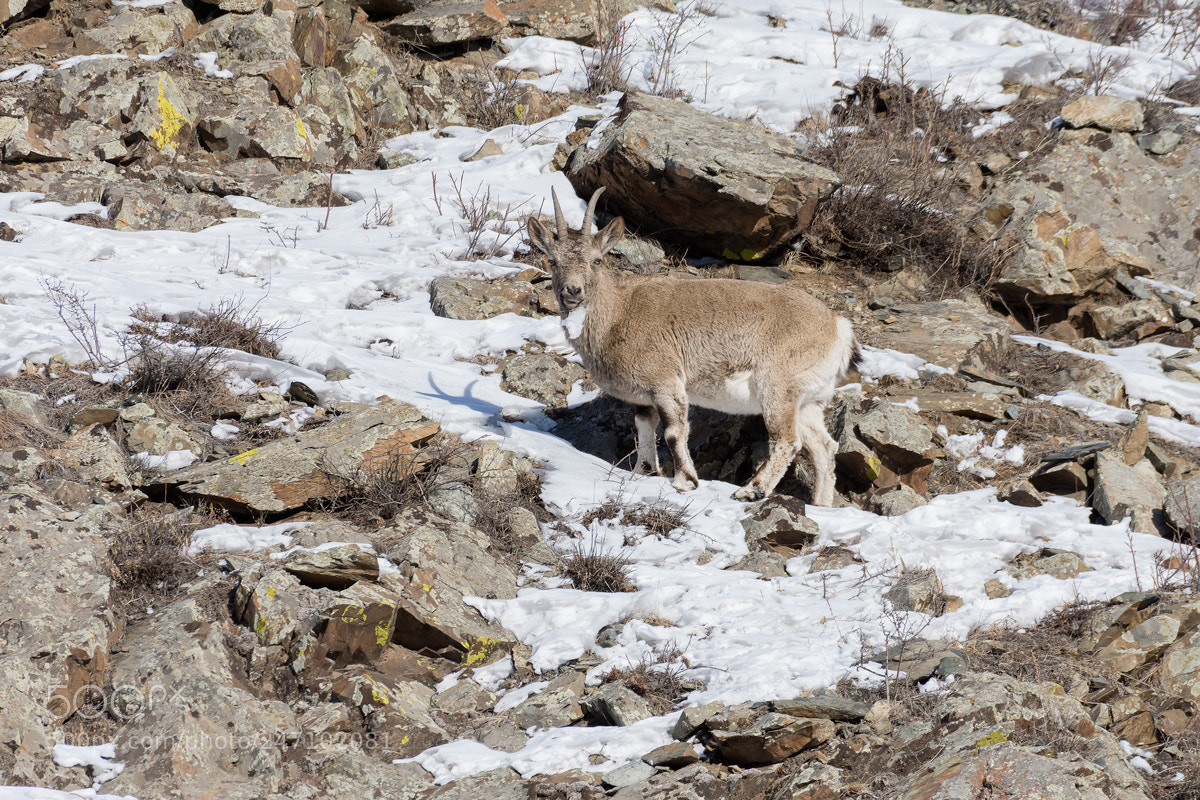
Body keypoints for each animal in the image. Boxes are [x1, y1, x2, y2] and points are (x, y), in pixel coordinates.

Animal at [527, 187, 856, 505]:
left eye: (596, 260)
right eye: (552, 261)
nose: (573, 291)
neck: (617, 315)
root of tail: (838, 327)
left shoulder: (665, 380)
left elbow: (674, 433)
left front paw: (686, 481)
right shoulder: (644, 395)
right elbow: (643, 428)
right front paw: (645, 472)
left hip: (778, 387)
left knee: (787, 441)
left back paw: (752, 490)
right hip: (809, 400)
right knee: (824, 447)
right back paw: (820, 504)